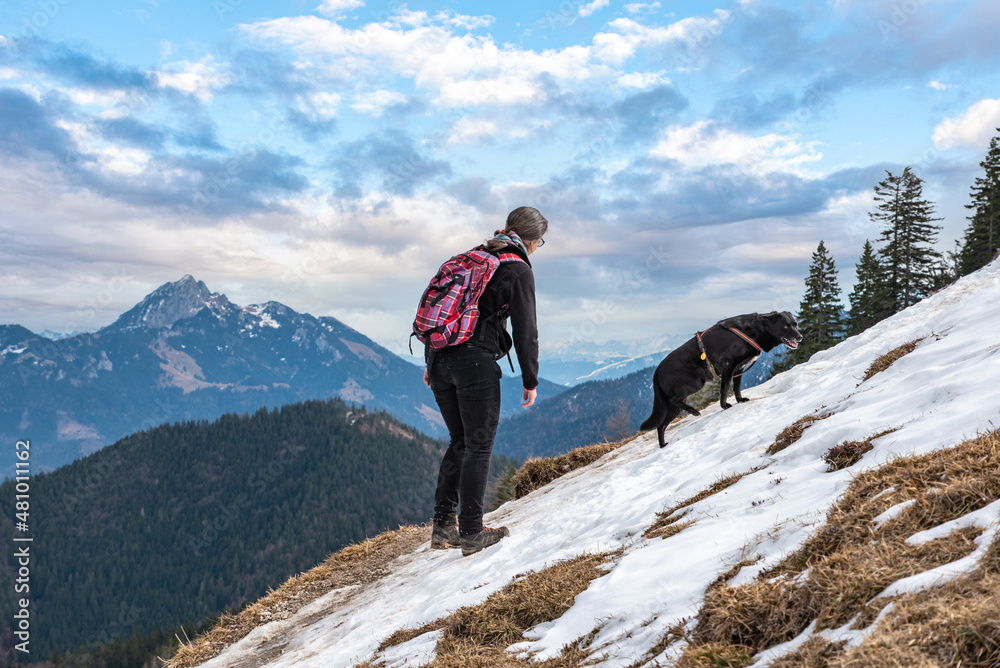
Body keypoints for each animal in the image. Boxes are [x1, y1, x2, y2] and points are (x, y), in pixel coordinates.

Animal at [644, 312, 800, 448]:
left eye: (795, 324)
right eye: (786, 326)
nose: (800, 337)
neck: (753, 330)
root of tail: (656, 373)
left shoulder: (738, 369)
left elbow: (737, 387)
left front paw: (740, 400)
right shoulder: (728, 367)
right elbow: (724, 389)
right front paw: (724, 406)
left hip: (674, 408)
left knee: (661, 425)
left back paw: (663, 445)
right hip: (695, 382)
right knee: (674, 400)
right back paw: (694, 411)